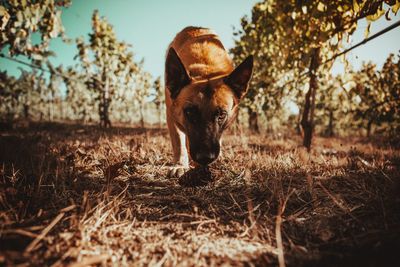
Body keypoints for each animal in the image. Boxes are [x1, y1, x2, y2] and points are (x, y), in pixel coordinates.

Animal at [165, 26, 253, 176]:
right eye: (190, 112)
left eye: (222, 114)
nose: (205, 158)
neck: (207, 71)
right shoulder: (171, 115)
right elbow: (178, 142)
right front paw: (180, 164)